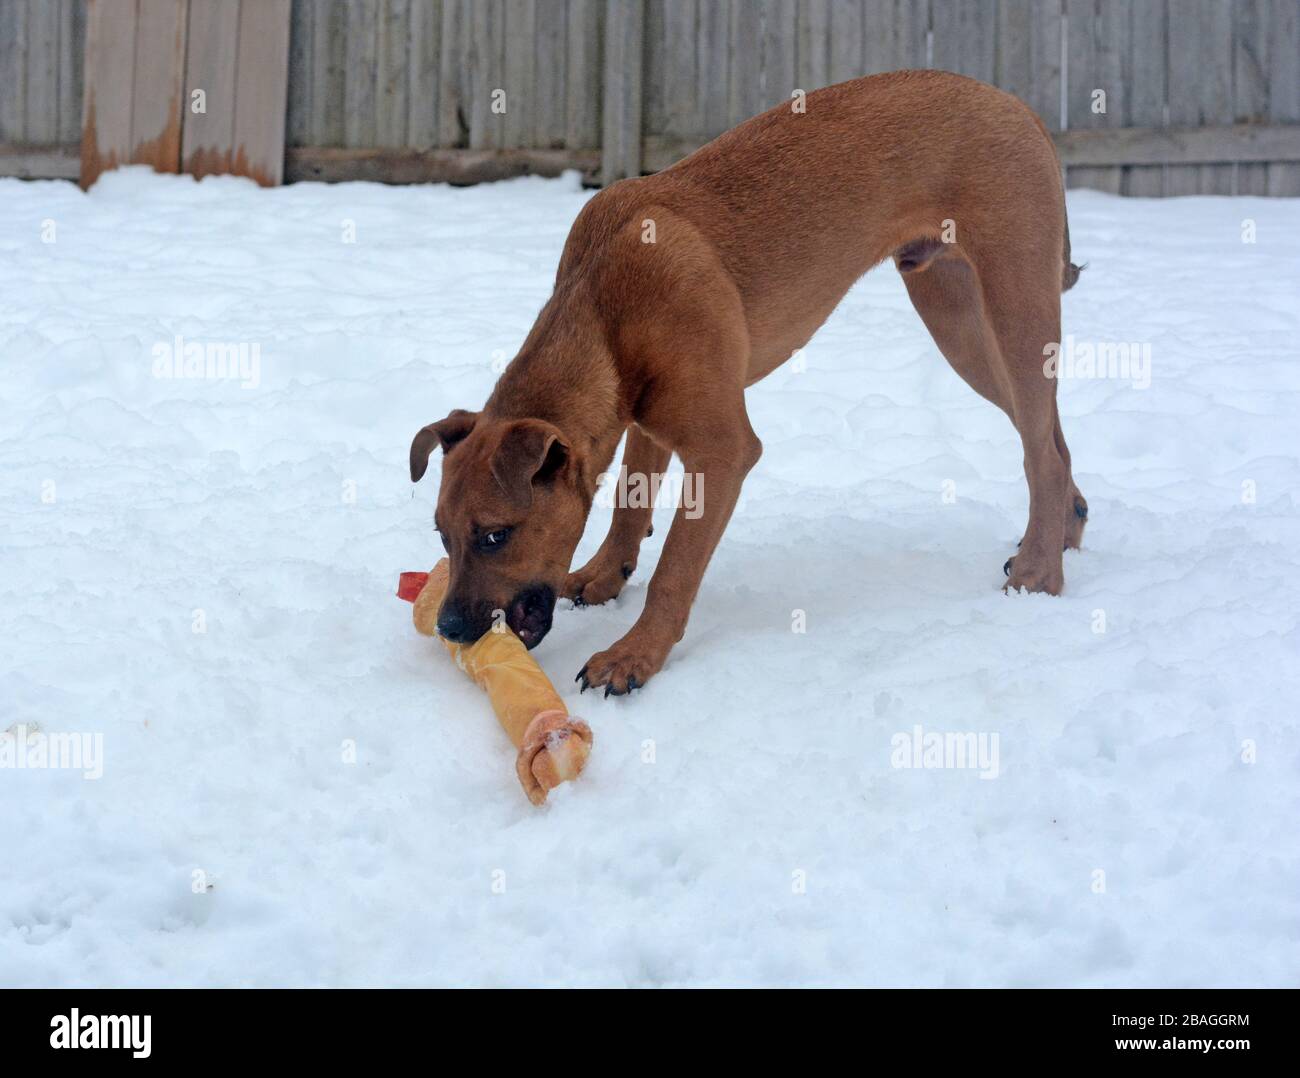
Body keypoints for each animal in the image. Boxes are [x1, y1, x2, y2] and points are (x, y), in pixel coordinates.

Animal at [408, 73, 1086, 696]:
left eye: (495, 536)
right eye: (442, 533)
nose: (448, 629)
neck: (601, 305)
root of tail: (1014, 104)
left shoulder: (722, 450)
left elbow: (675, 569)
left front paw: (634, 655)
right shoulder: (647, 419)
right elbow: (630, 501)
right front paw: (606, 574)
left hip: (1011, 309)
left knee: (1043, 453)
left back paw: (1039, 572)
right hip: (960, 325)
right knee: (1049, 437)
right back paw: (1064, 533)